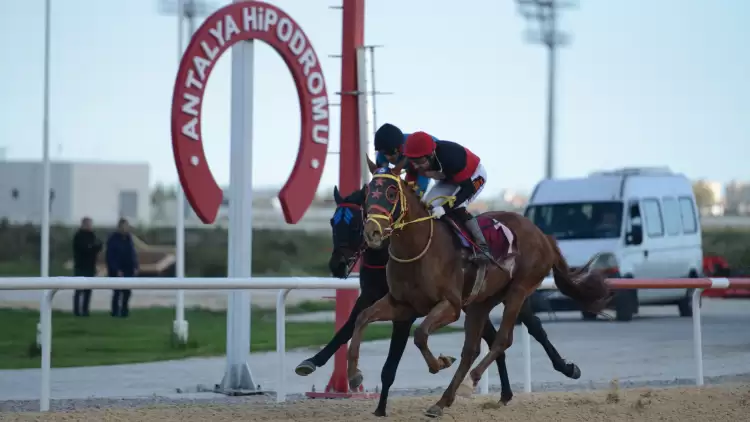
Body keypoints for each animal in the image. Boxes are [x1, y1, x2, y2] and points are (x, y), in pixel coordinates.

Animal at [296, 184, 584, 416]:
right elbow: (350, 326)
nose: (337, 265)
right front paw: (313, 363)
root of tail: (543, 236)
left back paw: (564, 368)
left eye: (354, 224)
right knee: (486, 342)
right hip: (481, 300)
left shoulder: (415, 312)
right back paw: (499, 392)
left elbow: (395, 357)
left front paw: (381, 405)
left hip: (515, 291)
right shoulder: (379, 298)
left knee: (524, 330)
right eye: (333, 222)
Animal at [350, 162, 612, 418]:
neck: (418, 249)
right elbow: (363, 318)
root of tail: (543, 235)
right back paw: (443, 401)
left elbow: (421, 334)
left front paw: (440, 363)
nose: (372, 232)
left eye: (391, 193)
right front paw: (354, 376)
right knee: (472, 350)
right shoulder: (402, 305)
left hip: (518, 290)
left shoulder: (451, 306)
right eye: (367, 194)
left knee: (503, 340)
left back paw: (470, 382)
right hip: (480, 302)